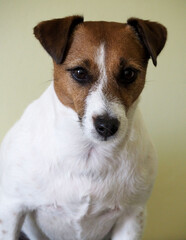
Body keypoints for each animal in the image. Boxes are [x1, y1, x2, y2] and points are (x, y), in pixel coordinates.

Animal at [0, 15, 166, 239]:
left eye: (129, 73)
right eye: (79, 72)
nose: (107, 126)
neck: (88, 153)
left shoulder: (131, 216)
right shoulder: (12, 209)